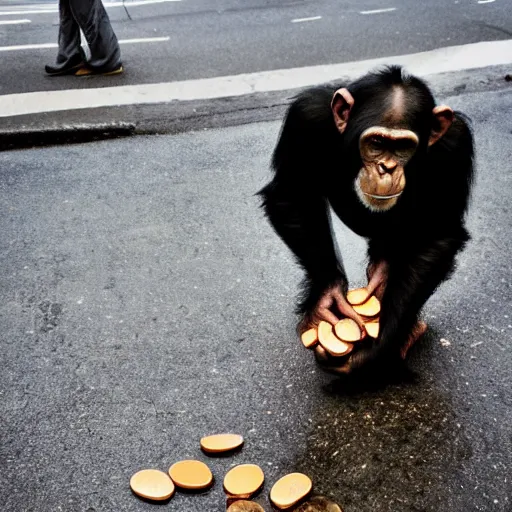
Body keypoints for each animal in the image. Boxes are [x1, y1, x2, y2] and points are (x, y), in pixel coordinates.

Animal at [260, 66, 476, 374]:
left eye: (403, 147)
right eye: (376, 143)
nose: (387, 167)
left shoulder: (456, 144)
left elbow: (439, 233)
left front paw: (378, 349)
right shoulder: (305, 117)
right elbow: (291, 195)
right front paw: (327, 298)